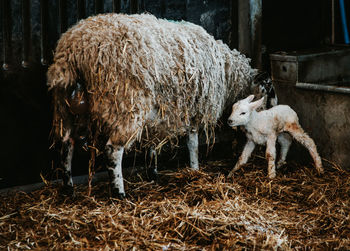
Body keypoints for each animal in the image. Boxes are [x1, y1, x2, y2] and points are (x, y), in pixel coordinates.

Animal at [47, 13, 276, 198]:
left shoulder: (160, 112)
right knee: (113, 150)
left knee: (66, 143)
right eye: (268, 90)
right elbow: (192, 143)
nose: (272, 112)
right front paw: (194, 169)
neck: (228, 73)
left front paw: (153, 172)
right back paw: (119, 193)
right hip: (125, 105)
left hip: (65, 108)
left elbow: (152, 142)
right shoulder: (194, 109)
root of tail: (74, 49)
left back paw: (68, 188)